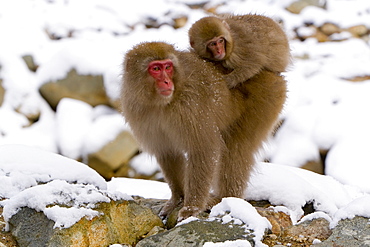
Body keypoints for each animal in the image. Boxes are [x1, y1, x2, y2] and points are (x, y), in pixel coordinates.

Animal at [120, 41, 288, 221]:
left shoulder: (190, 105)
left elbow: (203, 150)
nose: (166, 81)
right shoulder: (139, 111)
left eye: (168, 67)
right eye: (156, 68)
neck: (162, 103)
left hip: (266, 97)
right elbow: (168, 153)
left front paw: (191, 207)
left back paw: (227, 199)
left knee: (237, 149)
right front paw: (178, 198)